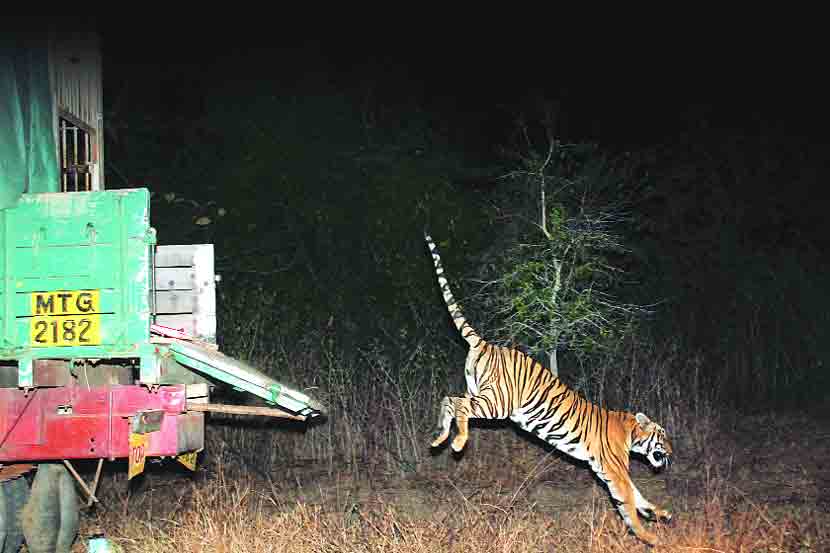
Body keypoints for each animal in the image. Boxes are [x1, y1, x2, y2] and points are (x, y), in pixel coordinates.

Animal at [426, 231, 672, 544]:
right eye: (663, 436)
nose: (671, 453)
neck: (631, 434)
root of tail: (487, 343)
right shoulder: (615, 472)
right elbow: (629, 501)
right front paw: (649, 537)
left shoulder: (613, 471)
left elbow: (639, 497)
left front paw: (660, 514)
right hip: (498, 403)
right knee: (457, 404)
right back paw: (456, 443)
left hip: (480, 392)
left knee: (449, 399)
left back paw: (439, 438)